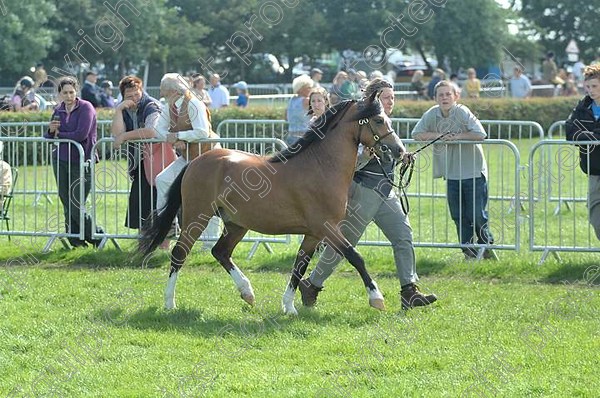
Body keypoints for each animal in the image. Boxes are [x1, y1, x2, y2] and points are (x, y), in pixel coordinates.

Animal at [138, 92, 406, 314]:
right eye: (379, 120)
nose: (400, 150)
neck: (321, 166)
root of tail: (196, 162)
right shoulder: (327, 228)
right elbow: (355, 256)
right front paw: (377, 298)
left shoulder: (313, 234)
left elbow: (299, 266)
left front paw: (288, 306)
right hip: (197, 216)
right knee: (179, 253)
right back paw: (170, 303)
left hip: (236, 224)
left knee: (220, 252)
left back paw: (247, 292)